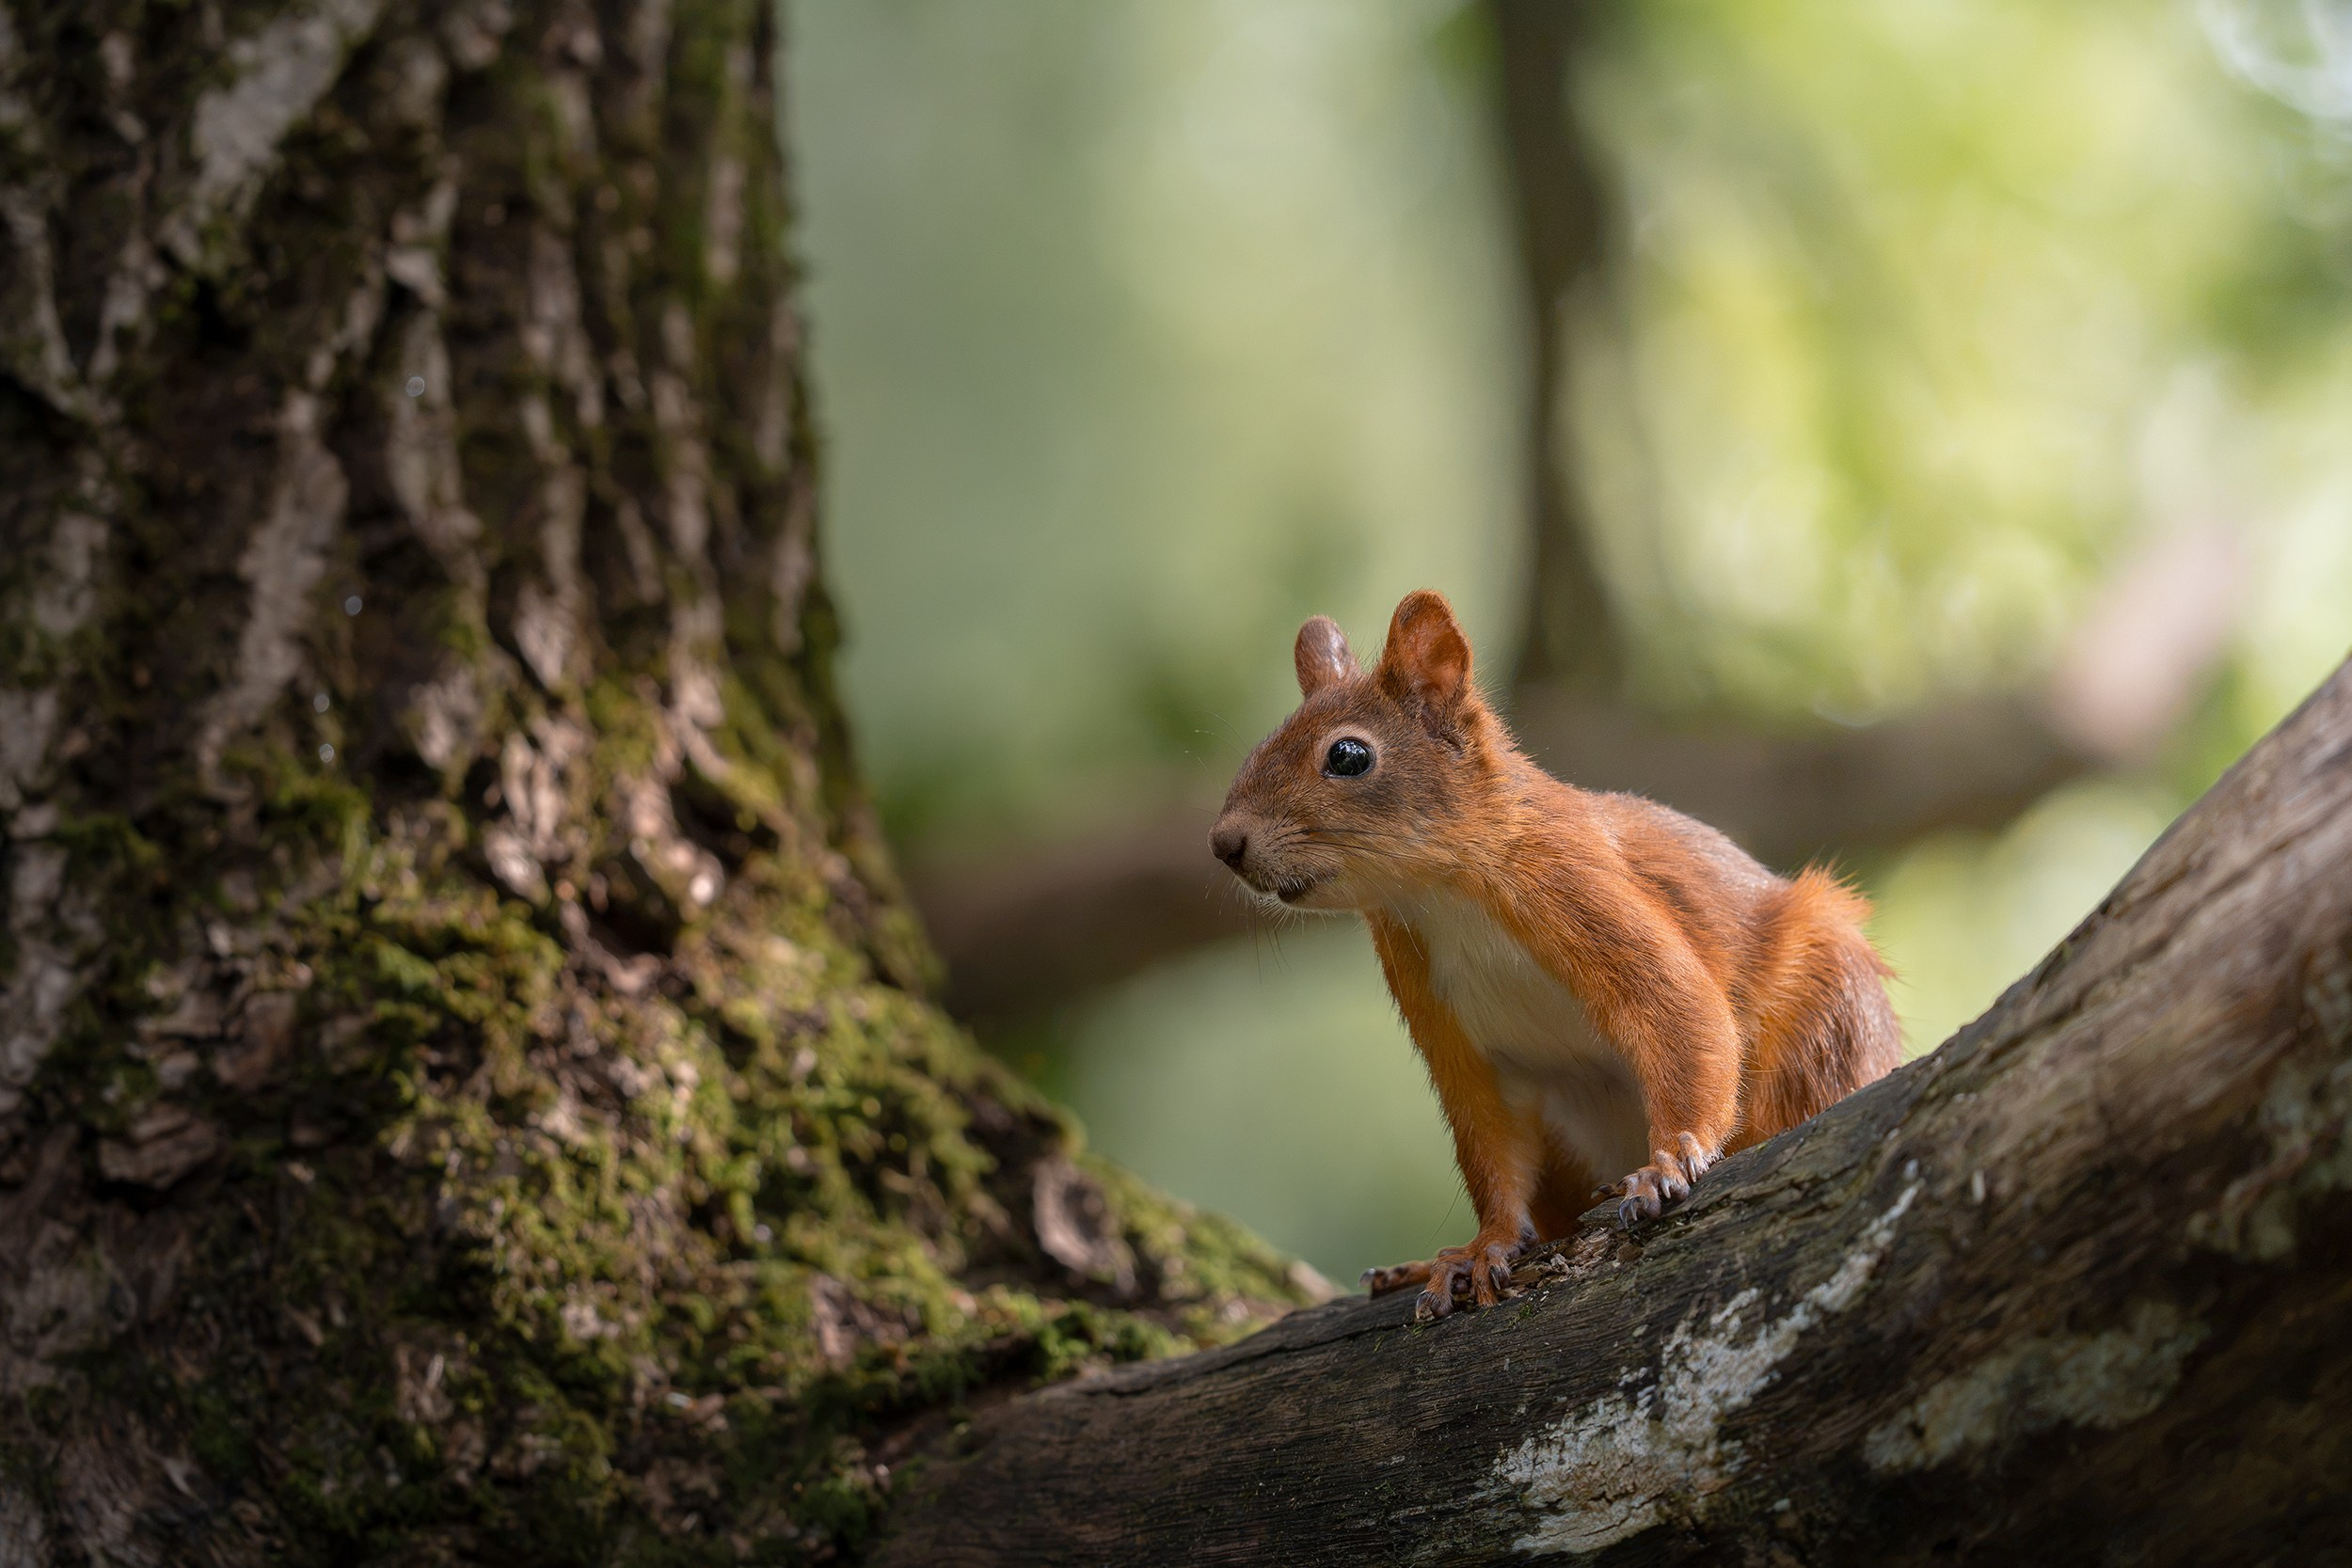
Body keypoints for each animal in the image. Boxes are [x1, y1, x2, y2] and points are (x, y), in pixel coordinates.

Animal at [1210, 589, 1902, 1321]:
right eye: (1261, 741)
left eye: (1348, 755)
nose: (1225, 842)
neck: (1438, 894)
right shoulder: (1449, 1025)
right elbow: (1490, 1146)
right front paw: (1482, 1246)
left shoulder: (1579, 884)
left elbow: (1684, 1016)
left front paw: (1667, 1163)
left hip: (1830, 1008)